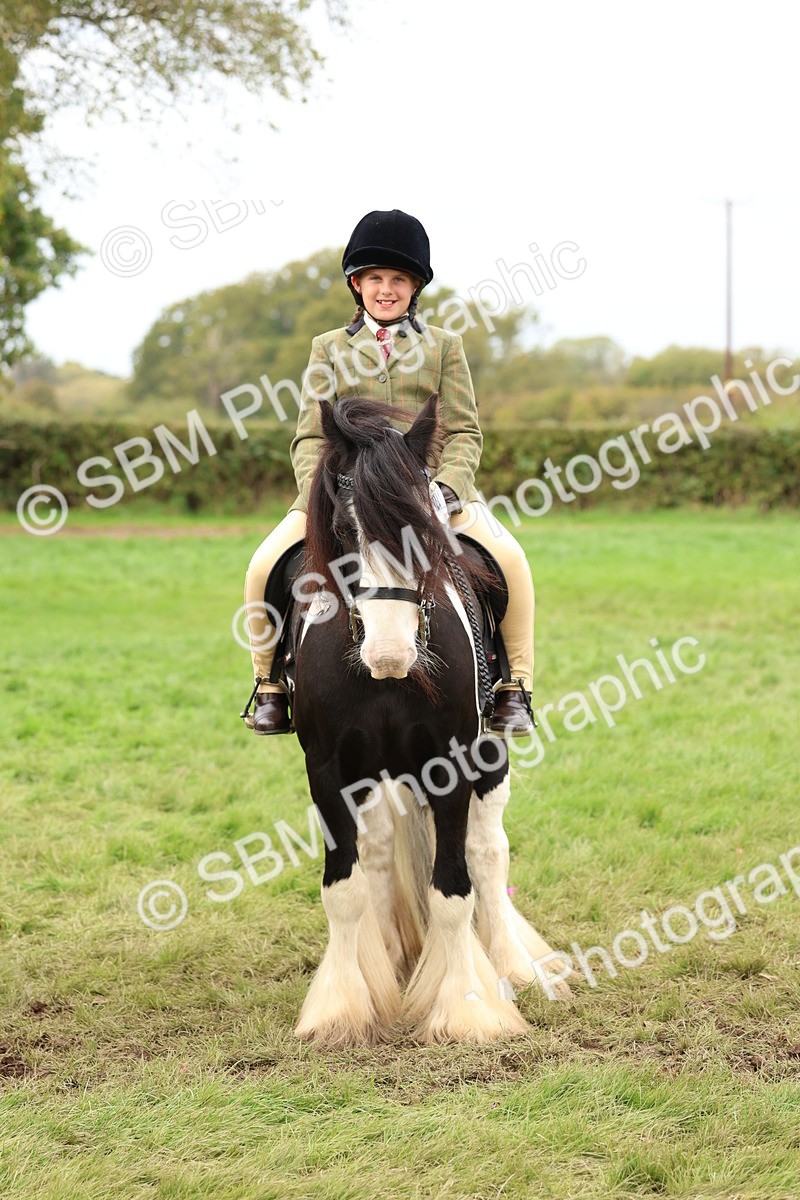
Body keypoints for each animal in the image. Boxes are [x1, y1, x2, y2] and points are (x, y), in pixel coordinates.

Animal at [290, 394, 570, 1047]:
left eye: (424, 528)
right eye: (343, 529)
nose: (391, 652)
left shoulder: (452, 764)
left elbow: (454, 890)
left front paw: (467, 1008)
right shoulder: (329, 770)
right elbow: (344, 889)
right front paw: (341, 1008)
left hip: (491, 757)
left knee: (489, 850)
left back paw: (511, 966)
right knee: (379, 854)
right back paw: (394, 956)